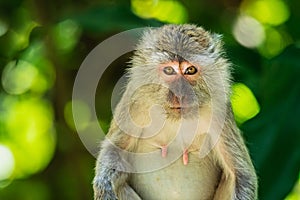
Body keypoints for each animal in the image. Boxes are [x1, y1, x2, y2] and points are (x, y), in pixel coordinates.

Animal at [93, 24, 258, 200]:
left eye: (190, 70)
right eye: (169, 70)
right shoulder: (135, 102)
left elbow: (240, 175)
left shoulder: (220, 109)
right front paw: (104, 188)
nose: (180, 94)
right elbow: (115, 151)